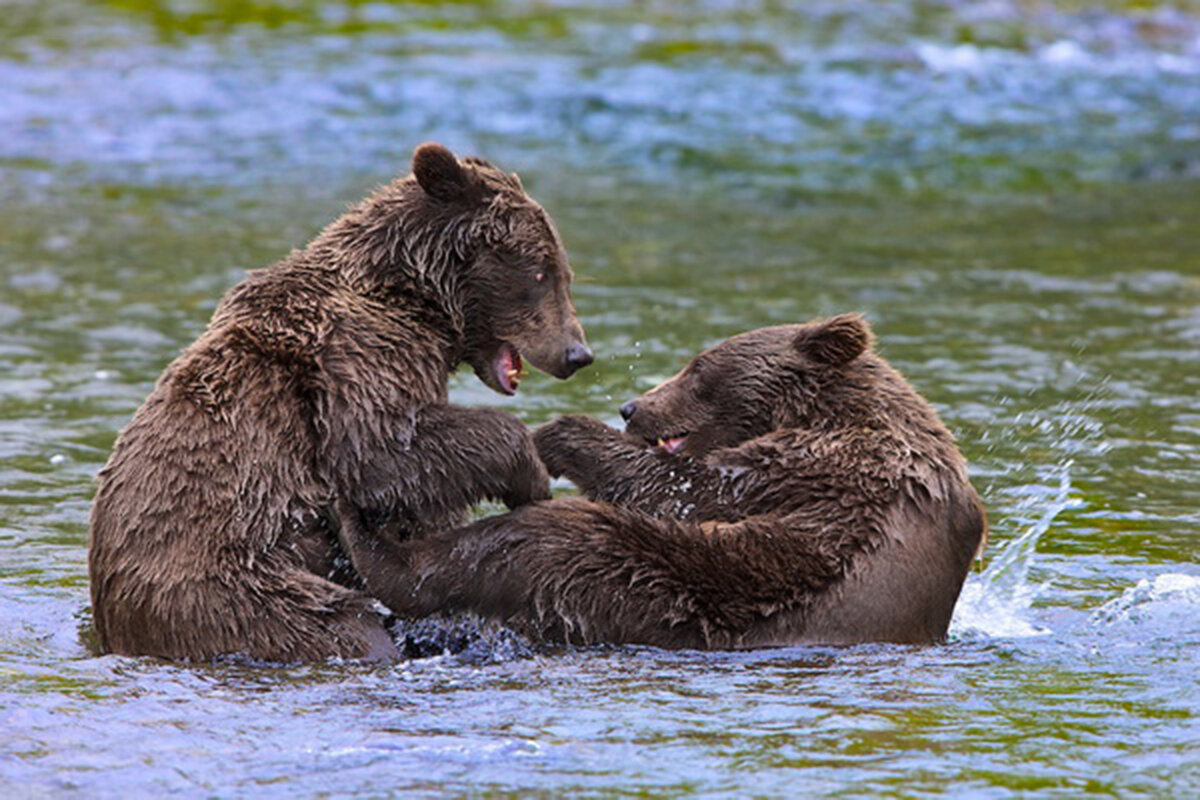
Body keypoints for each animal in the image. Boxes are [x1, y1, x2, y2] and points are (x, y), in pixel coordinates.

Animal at [87, 143, 592, 662]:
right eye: (541, 271)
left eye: (563, 271)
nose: (577, 353)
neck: (414, 302)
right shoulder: (354, 356)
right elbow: (381, 452)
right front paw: (530, 476)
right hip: (243, 589)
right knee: (337, 625)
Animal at [340, 311, 984, 652]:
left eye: (696, 368)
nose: (631, 406)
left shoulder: (831, 472)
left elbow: (691, 489)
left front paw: (557, 435)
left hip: (665, 594)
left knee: (544, 544)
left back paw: (366, 535)